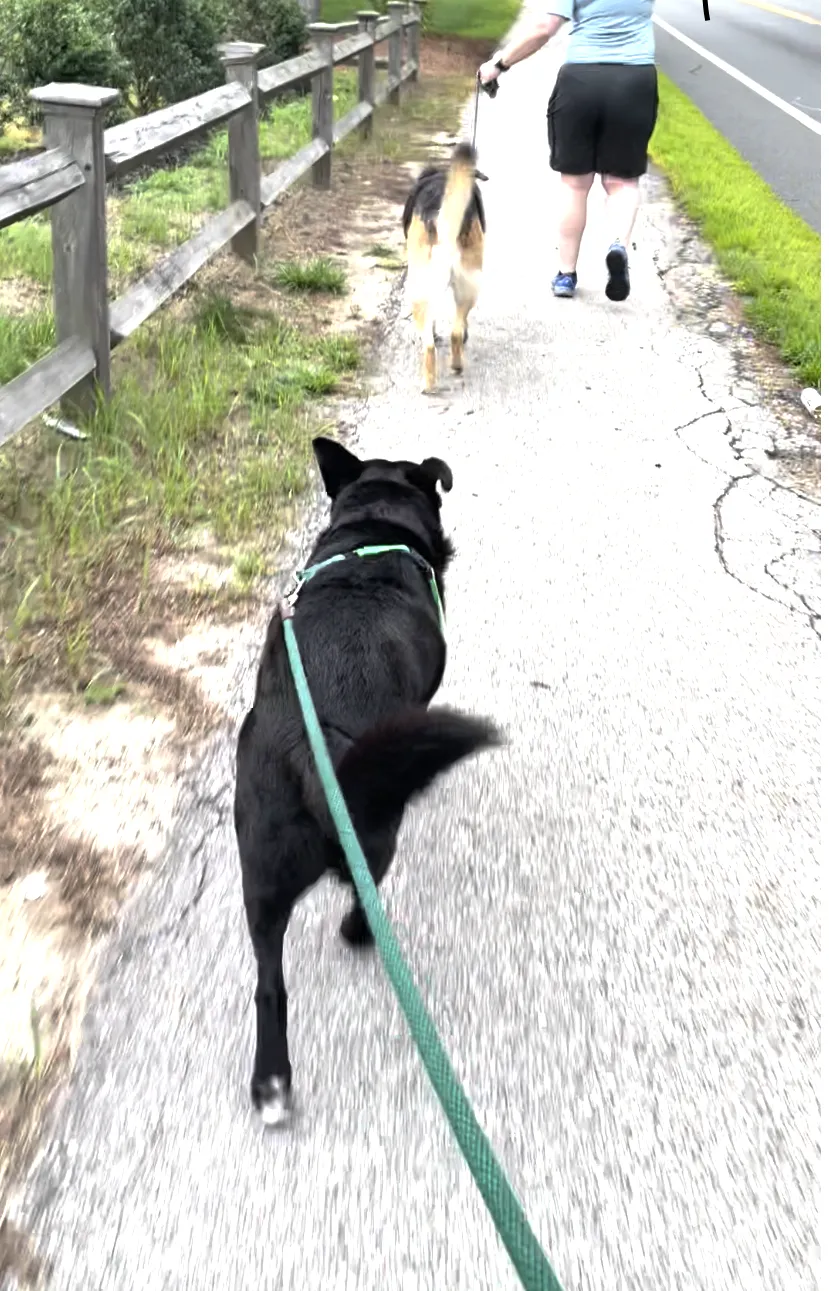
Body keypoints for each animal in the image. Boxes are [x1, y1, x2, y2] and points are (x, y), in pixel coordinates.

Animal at [235, 438, 501, 1125]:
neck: (374, 530)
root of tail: (311, 747)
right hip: (375, 836)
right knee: (362, 903)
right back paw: (360, 934)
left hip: (260, 872)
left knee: (269, 985)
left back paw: (270, 1082)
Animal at [402, 142, 485, 392]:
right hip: (466, 287)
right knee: (453, 334)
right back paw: (446, 372)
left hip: (425, 290)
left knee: (436, 343)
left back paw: (438, 378)